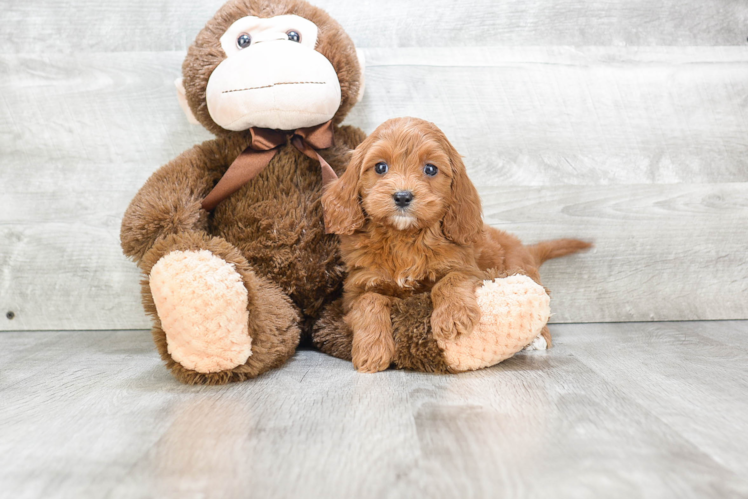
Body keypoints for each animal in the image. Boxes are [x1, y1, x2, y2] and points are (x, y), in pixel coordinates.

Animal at [322, 117, 592, 374]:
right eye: (380, 167)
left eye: (430, 169)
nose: (402, 196)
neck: (404, 238)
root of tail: (525, 248)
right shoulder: (356, 288)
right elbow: (369, 301)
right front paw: (372, 350)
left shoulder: (470, 268)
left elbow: (450, 279)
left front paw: (452, 316)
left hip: (520, 271)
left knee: (541, 305)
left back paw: (538, 339)